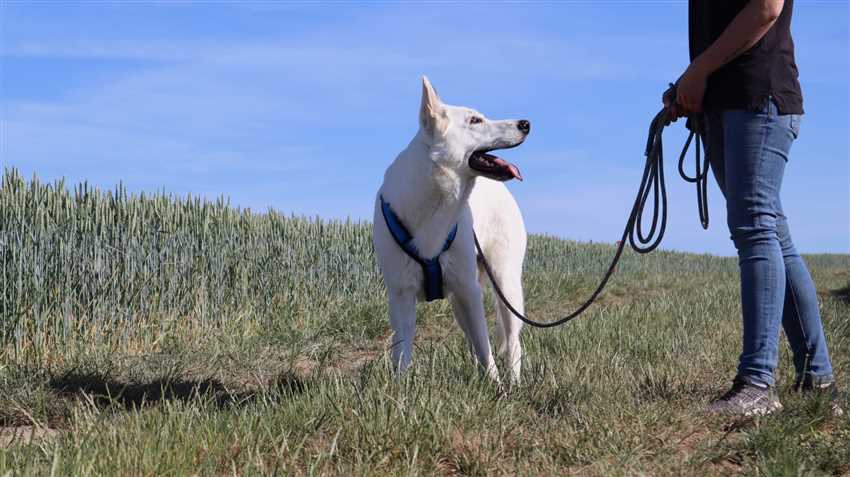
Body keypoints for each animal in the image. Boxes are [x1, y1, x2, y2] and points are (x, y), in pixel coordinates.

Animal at [372, 77, 528, 384]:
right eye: (475, 120)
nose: (526, 123)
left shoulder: (469, 290)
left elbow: (486, 349)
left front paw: (497, 387)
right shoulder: (401, 296)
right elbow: (402, 353)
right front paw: (400, 389)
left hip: (505, 284)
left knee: (512, 343)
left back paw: (514, 382)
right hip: (459, 303)